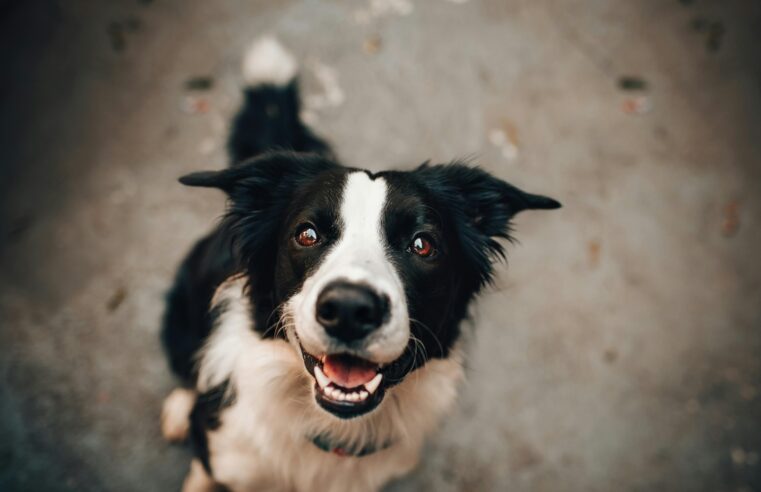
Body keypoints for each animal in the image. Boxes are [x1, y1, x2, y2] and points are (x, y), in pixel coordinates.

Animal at [159, 36, 560, 490]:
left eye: (422, 244)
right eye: (307, 234)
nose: (350, 310)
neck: (333, 429)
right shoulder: (224, 452)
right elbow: (204, 469)